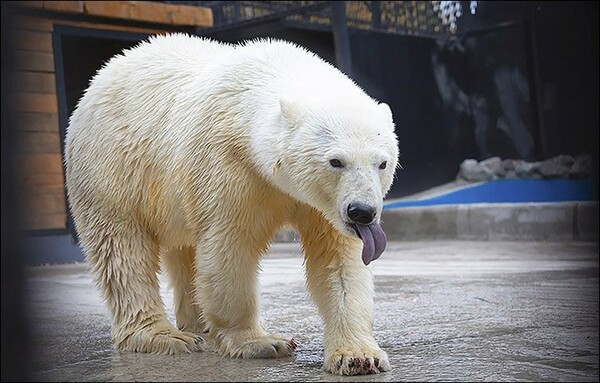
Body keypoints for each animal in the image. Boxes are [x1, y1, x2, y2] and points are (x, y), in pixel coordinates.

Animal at [64, 34, 398, 376]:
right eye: (336, 161)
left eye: (382, 162)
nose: (362, 212)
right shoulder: (228, 167)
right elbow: (229, 246)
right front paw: (261, 342)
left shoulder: (320, 206)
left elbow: (337, 260)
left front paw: (359, 356)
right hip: (112, 172)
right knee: (121, 251)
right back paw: (163, 335)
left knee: (183, 252)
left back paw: (197, 325)